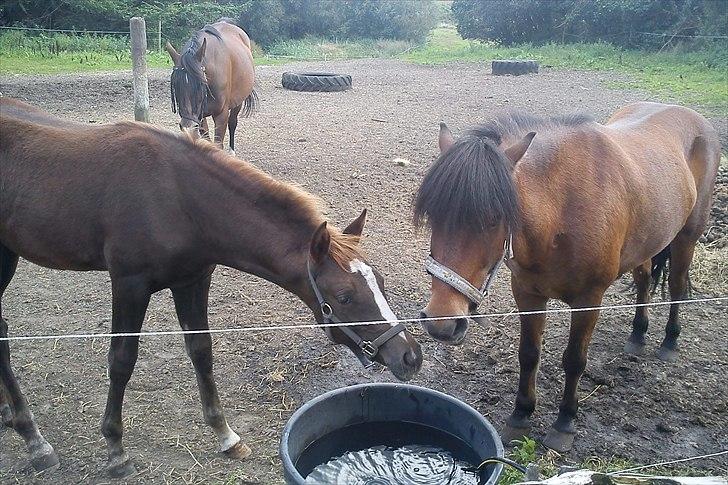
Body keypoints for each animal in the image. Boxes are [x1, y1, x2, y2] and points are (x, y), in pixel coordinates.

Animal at [0, 98, 420, 476]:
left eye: (380, 280)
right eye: (344, 297)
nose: (409, 356)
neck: (177, 197)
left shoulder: (194, 278)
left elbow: (201, 350)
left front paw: (226, 435)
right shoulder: (129, 283)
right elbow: (121, 360)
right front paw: (116, 450)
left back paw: (13, 417)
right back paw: (35, 440)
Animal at [166, 18, 258, 153]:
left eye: (200, 85)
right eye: (176, 87)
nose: (188, 127)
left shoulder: (221, 115)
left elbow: (218, 143)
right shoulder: (199, 116)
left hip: (238, 102)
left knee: (232, 123)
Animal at [412, 101, 720, 450]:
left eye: (494, 219)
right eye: (433, 215)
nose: (442, 322)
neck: (562, 211)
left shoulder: (589, 300)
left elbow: (574, 360)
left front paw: (564, 422)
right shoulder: (527, 293)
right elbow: (529, 354)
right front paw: (520, 415)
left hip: (687, 236)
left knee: (677, 286)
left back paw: (669, 341)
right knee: (644, 282)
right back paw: (637, 335)